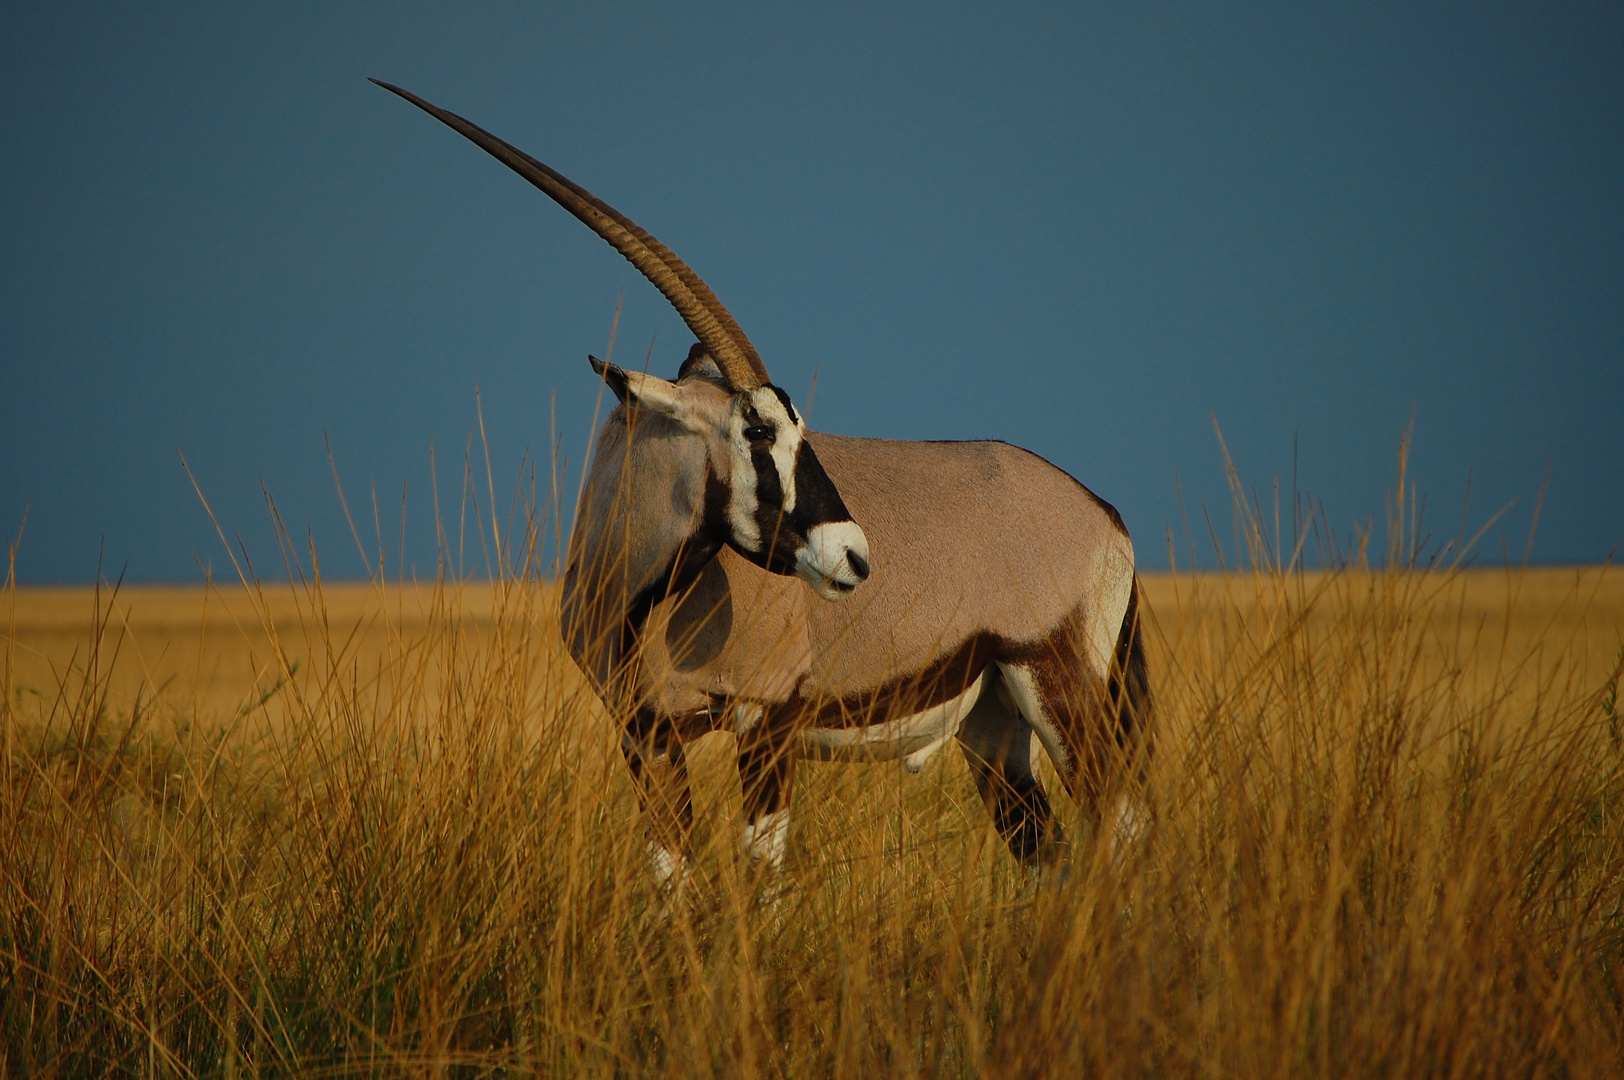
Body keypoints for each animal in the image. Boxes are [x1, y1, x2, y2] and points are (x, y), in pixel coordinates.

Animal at [371, 82, 1149, 889]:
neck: (642, 593)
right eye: (755, 433)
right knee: (1048, 857)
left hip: (1060, 684)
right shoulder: (646, 737)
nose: (854, 557)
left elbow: (760, 876)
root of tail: (1103, 513)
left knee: (1119, 825)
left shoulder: (767, 726)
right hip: (996, 724)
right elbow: (671, 876)